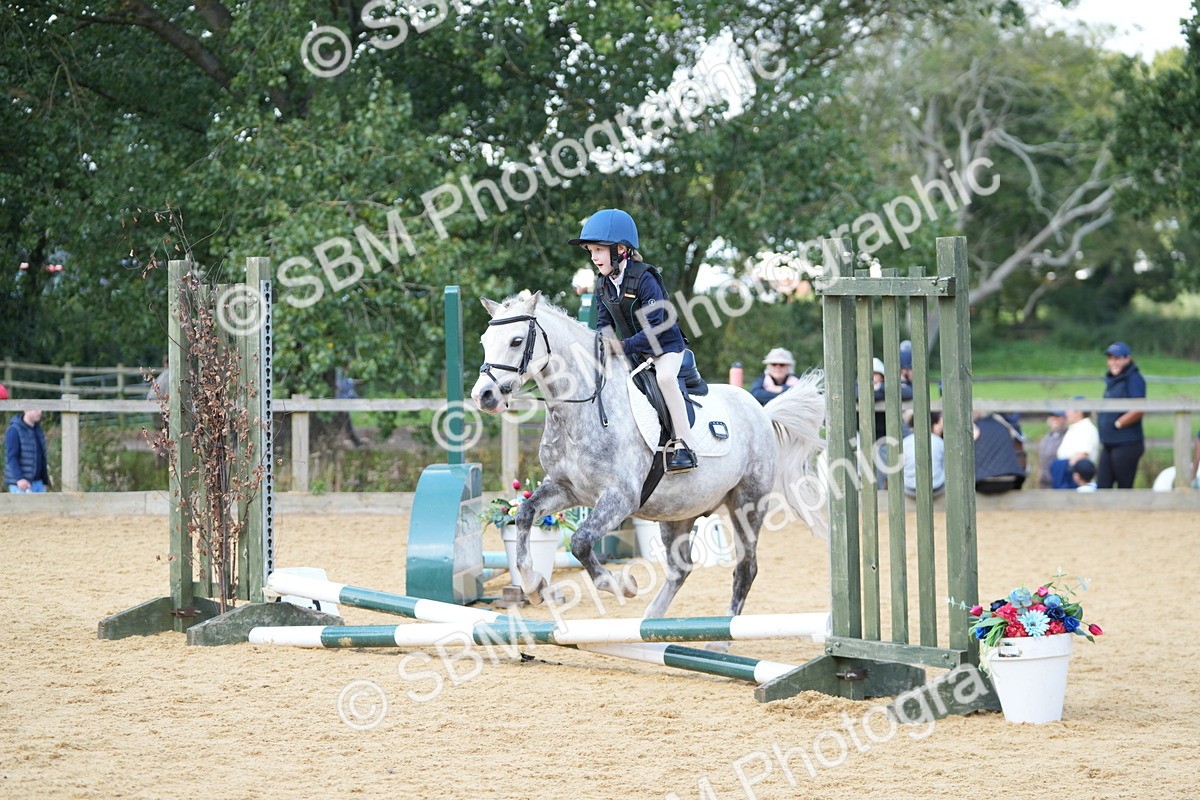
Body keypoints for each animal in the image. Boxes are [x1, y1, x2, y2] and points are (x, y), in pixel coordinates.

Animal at [470, 291, 826, 622]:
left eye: (516, 341)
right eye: (484, 341)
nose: (483, 396)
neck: (579, 411)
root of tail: (762, 411)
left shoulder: (620, 498)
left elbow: (581, 542)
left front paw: (621, 585)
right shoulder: (566, 489)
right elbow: (525, 514)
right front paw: (534, 586)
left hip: (747, 504)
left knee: (745, 568)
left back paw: (718, 638)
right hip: (678, 511)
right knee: (681, 568)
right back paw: (652, 621)